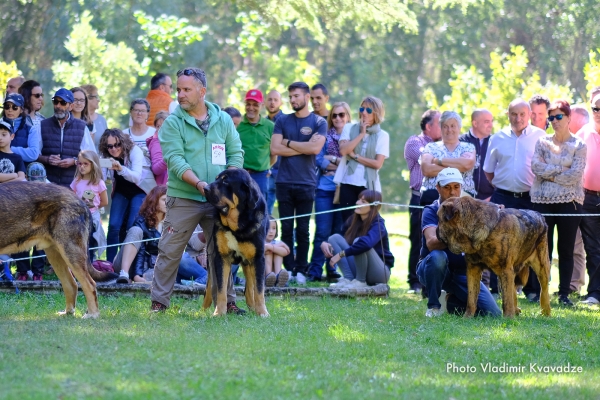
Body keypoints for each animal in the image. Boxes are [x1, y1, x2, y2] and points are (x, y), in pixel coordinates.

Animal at [0, 182, 117, 318]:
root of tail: (80, 200)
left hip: (71, 251)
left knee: (89, 284)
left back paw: (92, 315)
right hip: (56, 255)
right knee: (71, 285)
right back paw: (68, 312)